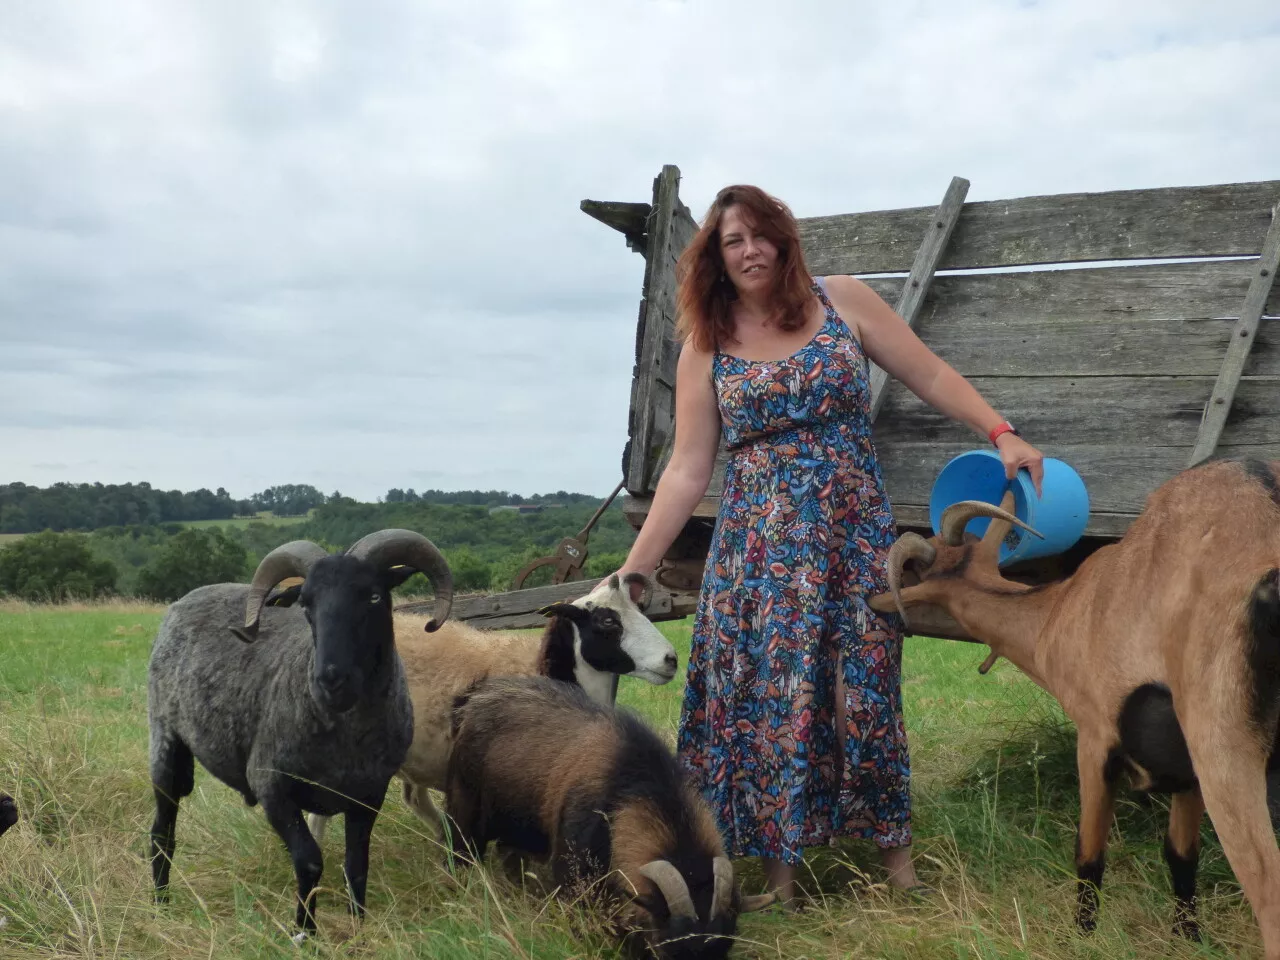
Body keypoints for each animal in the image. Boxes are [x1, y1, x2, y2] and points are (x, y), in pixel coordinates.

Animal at [147, 529, 455, 936]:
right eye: (306, 604)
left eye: (374, 596)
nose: (331, 679)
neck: (345, 737)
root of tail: (185, 599)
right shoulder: (272, 788)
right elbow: (309, 861)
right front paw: (305, 932)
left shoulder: (368, 796)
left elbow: (357, 865)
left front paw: (358, 926)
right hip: (164, 743)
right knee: (161, 832)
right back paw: (160, 906)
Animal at [870, 458, 1280, 957]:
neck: (1056, 609)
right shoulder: (1185, 773)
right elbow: (1181, 857)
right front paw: (1187, 938)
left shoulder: (1095, 735)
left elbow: (1089, 853)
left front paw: (1082, 936)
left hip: (1226, 753)